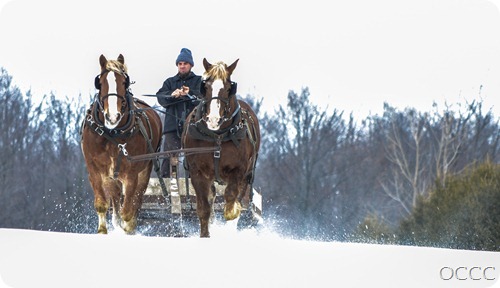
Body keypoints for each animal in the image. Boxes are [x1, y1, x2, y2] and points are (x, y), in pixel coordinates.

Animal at [80, 54, 162, 234]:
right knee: (116, 198)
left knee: (136, 202)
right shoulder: (94, 169)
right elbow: (102, 204)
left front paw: (127, 230)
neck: (112, 133)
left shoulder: (131, 174)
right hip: (112, 175)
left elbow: (128, 211)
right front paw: (102, 231)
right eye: (100, 82)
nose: (112, 117)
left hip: (144, 170)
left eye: (124, 82)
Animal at [184, 58, 262, 236]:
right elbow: (204, 209)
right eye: (206, 86)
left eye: (228, 88)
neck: (217, 135)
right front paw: (205, 234)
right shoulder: (197, 173)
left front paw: (231, 214)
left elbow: (231, 201)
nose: (213, 120)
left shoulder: (238, 171)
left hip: (247, 175)